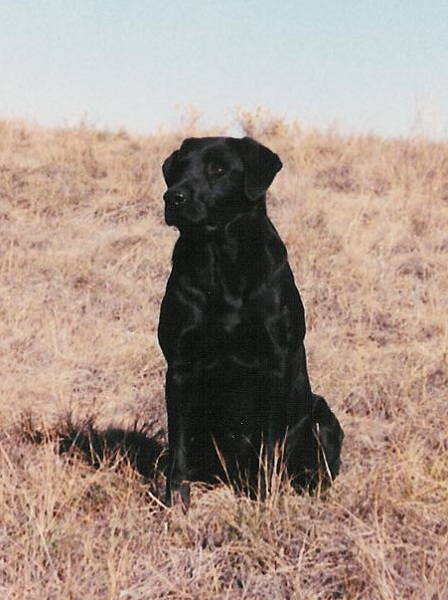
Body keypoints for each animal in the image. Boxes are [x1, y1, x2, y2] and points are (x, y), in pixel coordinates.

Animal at [158, 136, 344, 506]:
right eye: (179, 167)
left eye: (218, 168)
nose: (173, 197)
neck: (219, 260)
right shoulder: (179, 367)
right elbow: (178, 448)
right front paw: (175, 501)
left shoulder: (273, 365)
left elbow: (268, 446)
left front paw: (263, 497)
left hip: (323, 419)